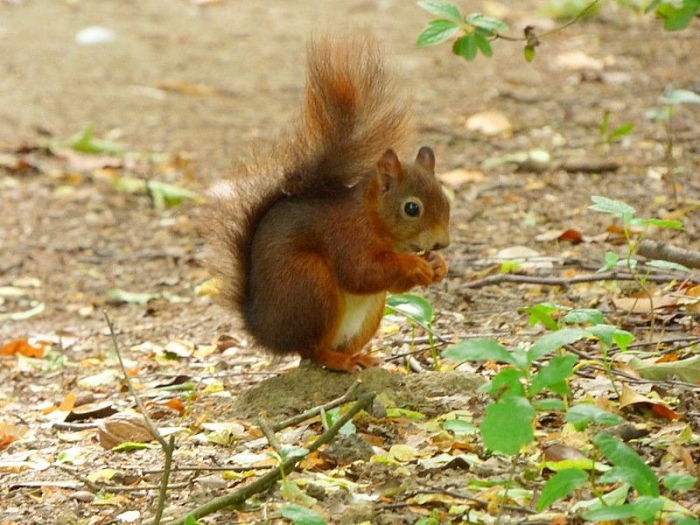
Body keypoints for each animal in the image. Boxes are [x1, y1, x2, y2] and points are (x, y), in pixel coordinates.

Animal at [202, 35, 451, 372]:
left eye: (446, 199)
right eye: (412, 208)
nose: (442, 243)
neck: (372, 217)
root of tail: (266, 331)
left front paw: (438, 266)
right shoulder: (345, 235)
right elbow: (359, 273)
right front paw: (414, 264)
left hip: (368, 312)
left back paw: (359, 357)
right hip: (310, 284)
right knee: (310, 350)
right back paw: (338, 361)